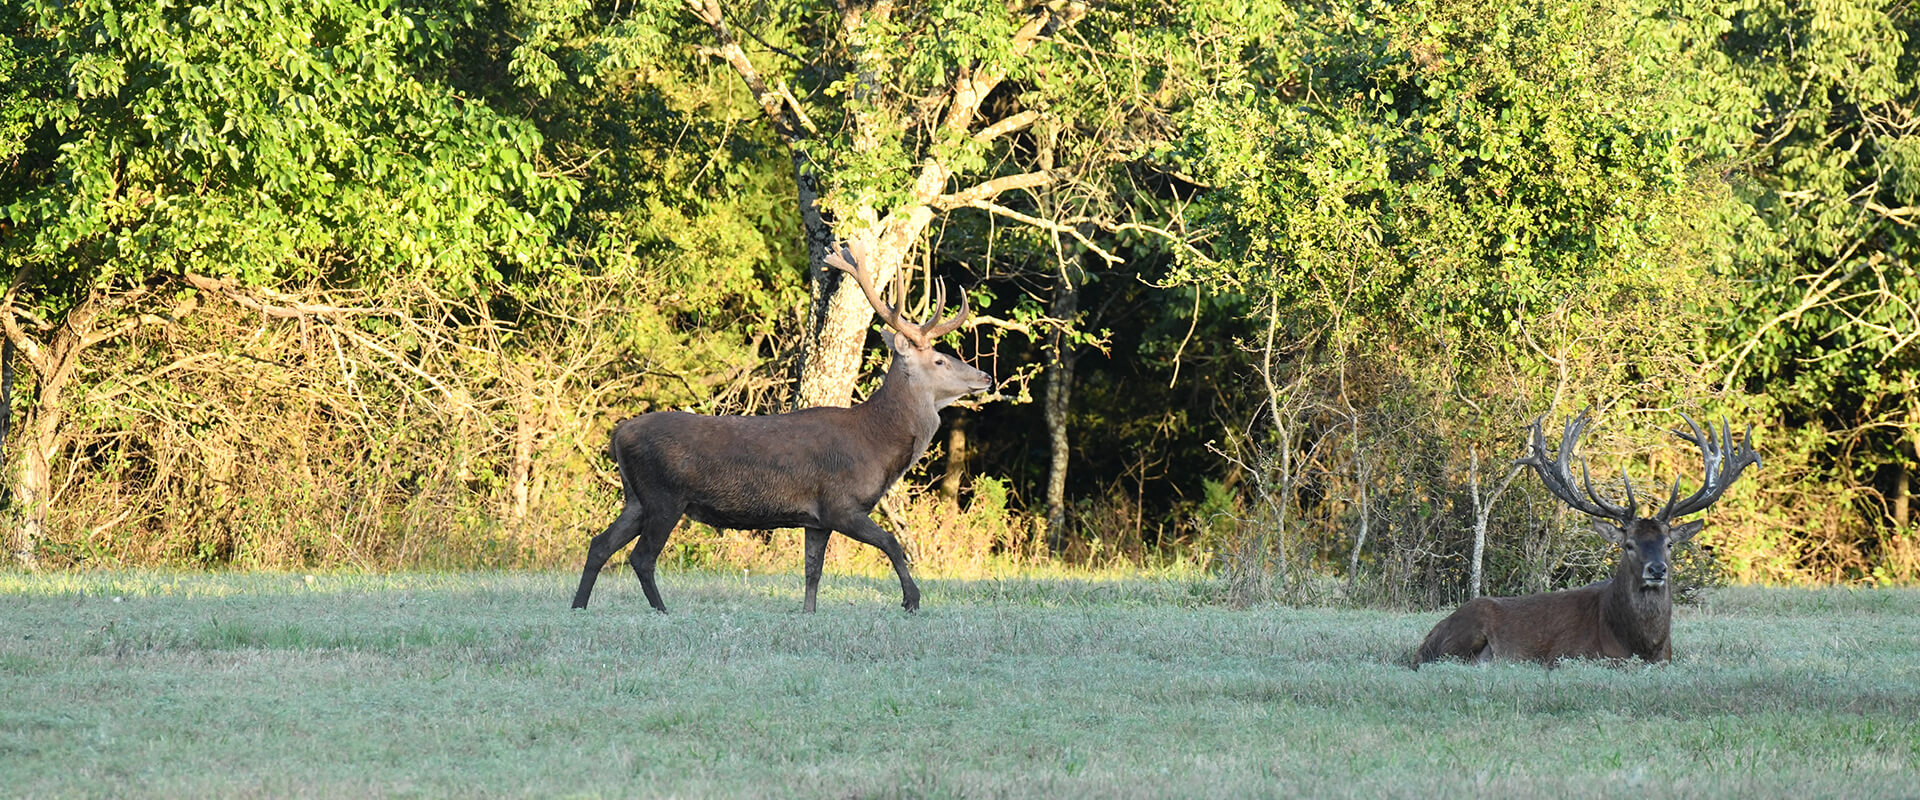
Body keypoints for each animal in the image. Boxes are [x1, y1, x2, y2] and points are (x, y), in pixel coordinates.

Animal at [570, 240, 993, 614]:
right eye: (940, 360)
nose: (985, 376)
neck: (877, 446)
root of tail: (618, 435)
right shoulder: (841, 503)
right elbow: (892, 542)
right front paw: (911, 600)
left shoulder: (817, 519)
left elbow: (812, 572)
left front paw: (808, 613)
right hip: (665, 495)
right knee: (641, 557)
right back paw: (661, 610)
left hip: (636, 497)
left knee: (599, 544)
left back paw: (579, 606)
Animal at [1416, 409, 1759, 667]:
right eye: (1628, 545)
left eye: (1669, 544)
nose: (1657, 569)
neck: (1640, 645)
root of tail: (1426, 640)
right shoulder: (1568, 655)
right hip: (1468, 628)